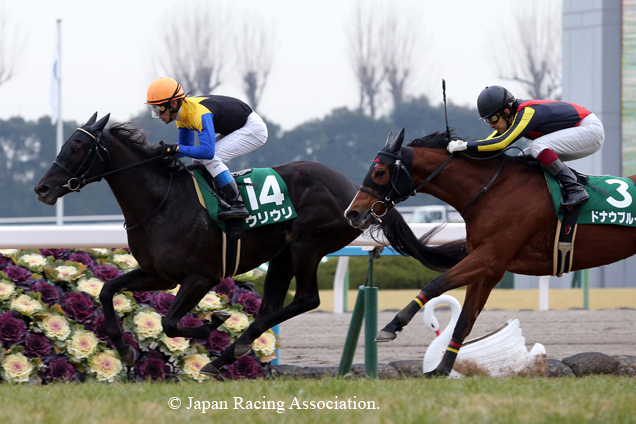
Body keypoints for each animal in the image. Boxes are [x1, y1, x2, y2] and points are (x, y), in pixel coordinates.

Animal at [34, 113, 360, 378]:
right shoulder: (158, 275)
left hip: (307, 246)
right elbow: (107, 290)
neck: (162, 203)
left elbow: (169, 322)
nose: (42, 188)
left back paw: (233, 348)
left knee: (307, 299)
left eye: (76, 147)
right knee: (270, 307)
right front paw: (124, 351)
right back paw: (227, 355)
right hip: (283, 255)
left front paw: (214, 320)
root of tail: (354, 190)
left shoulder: (202, 277)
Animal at [346, 127, 636, 376]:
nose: (353, 212)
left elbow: (436, 283)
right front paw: (441, 370)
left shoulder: (490, 258)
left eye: (379, 171)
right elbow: (465, 320)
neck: (492, 190)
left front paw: (391, 326)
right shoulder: (489, 267)